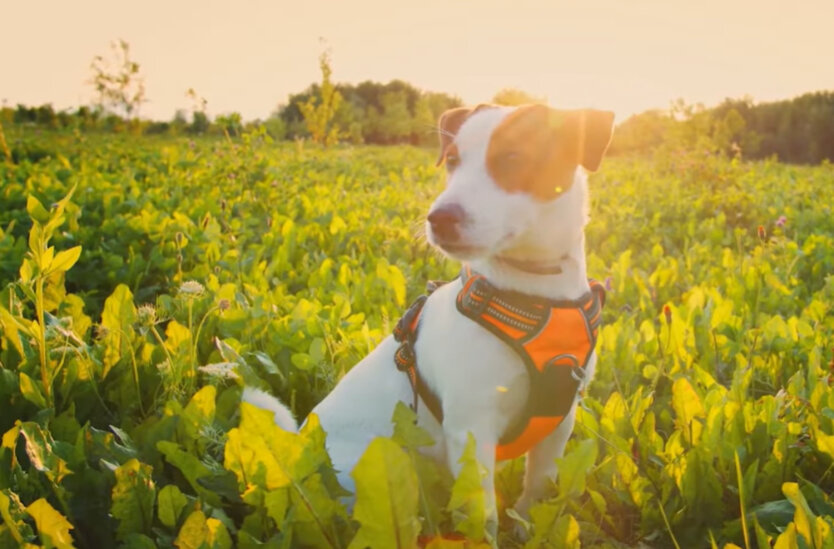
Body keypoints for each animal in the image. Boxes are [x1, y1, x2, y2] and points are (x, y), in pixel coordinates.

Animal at [244, 101, 616, 532]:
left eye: (513, 159)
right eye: (452, 161)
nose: (438, 218)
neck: (532, 291)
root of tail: (303, 443)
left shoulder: (559, 422)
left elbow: (538, 490)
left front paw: (527, 528)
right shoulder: (471, 429)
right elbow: (484, 515)